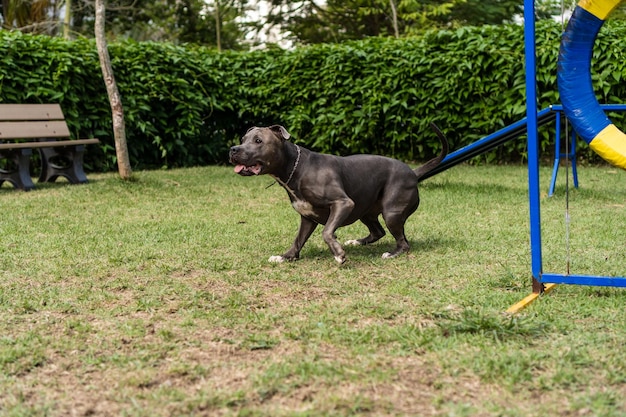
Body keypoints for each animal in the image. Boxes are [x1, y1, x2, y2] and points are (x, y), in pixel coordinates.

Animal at [229, 122, 448, 264]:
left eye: (258, 140)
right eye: (243, 139)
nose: (233, 149)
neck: (295, 169)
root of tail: (413, 172)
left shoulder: (343, 203)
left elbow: (327, 232)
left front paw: (339, 254)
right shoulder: (307, 217)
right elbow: (298, 239)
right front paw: (285, 257)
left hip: (391, 212)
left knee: (403, 242)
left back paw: (392, 254)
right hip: (365, 210)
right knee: (378, 231)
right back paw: (358, 242)